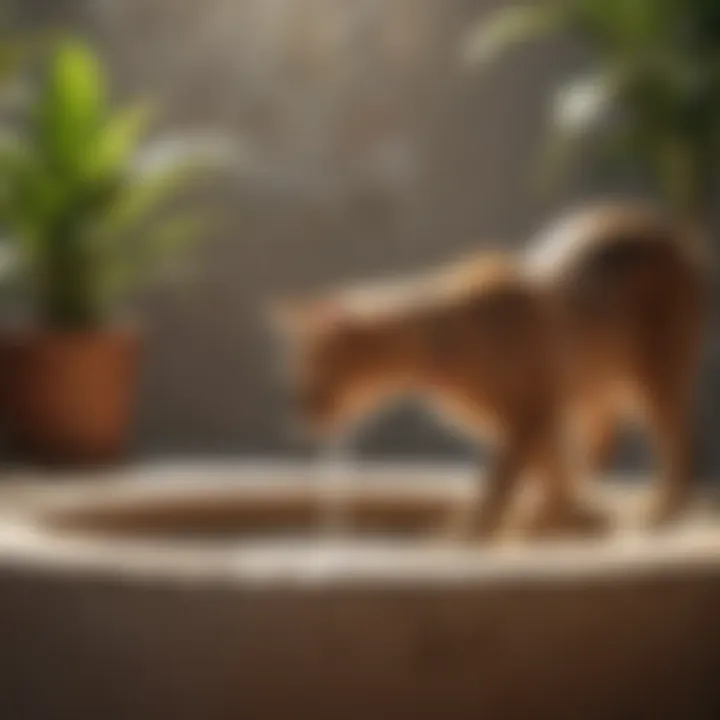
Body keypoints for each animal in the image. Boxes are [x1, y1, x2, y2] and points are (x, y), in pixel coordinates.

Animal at [270, 202, 708, 540]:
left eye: (312, 374)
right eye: (296, 379)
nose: (297, 411)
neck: (447, 335)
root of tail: (673, 232)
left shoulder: (531, 410)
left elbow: (504, 479)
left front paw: (477, 530)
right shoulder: (524, 417)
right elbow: (550, 468)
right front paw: (563, 518)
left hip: (657, 375)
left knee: (680, 444)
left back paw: (661, 509)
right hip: (599, 383)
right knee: (601, 442)